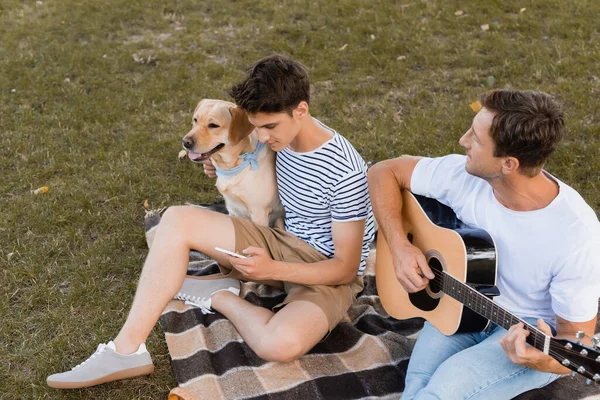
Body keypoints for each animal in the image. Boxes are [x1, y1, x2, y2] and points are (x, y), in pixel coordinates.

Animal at [180, 99, 284, 228]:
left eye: (213, 125)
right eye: (195, 120)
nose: (185, 142)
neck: (232, 167)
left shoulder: (259, 214)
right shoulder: (233, 210)